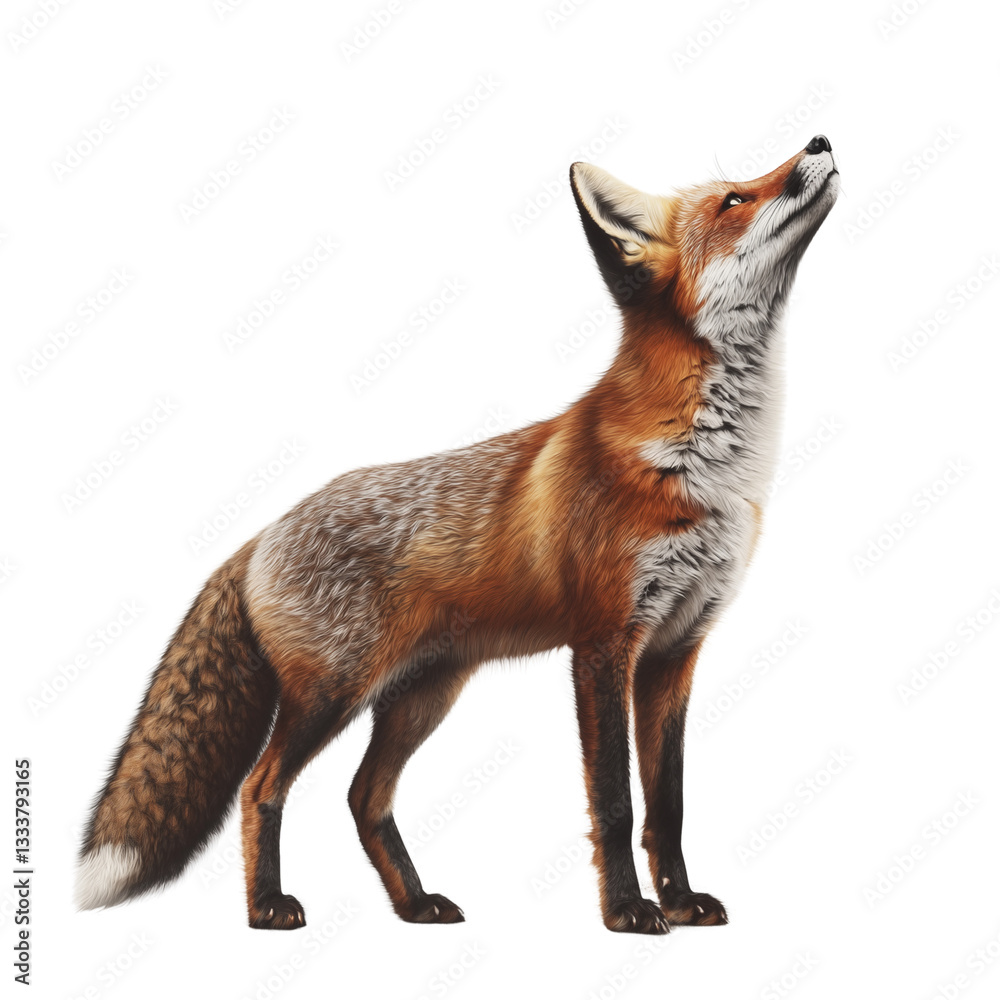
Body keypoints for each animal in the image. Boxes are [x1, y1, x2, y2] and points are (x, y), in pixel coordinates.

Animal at [76, 135, 839, 934]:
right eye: (734, 199)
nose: (819, 141)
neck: (707, 470)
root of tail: (259, 535)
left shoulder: (676, 650)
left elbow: (670, 805)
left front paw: (682, 902)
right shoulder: (603, 644)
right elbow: (616, 802)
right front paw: (628, 911)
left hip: (421, 697)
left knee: (363, 797)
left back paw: (414, 904)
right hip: (331, 694)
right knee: (262, 788)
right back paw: (266, 908)